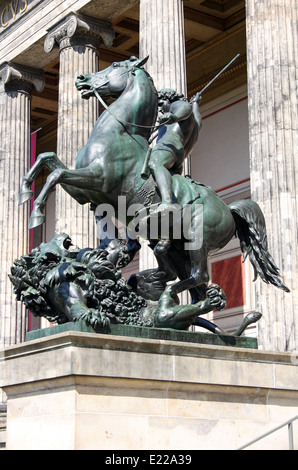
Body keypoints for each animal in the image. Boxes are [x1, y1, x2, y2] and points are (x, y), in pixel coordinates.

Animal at [18, 56, 288, 330]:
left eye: (115, 65)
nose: (81, 79)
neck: (119, 132)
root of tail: (230, 210)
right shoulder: (84, 192)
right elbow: (47, 159)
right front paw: (25, 191)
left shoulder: (96, 178)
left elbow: (55, 174)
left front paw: (36, 214)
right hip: (178, 249)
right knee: (191, 284)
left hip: (197, 239)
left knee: (199, 275)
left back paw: (166, 298)